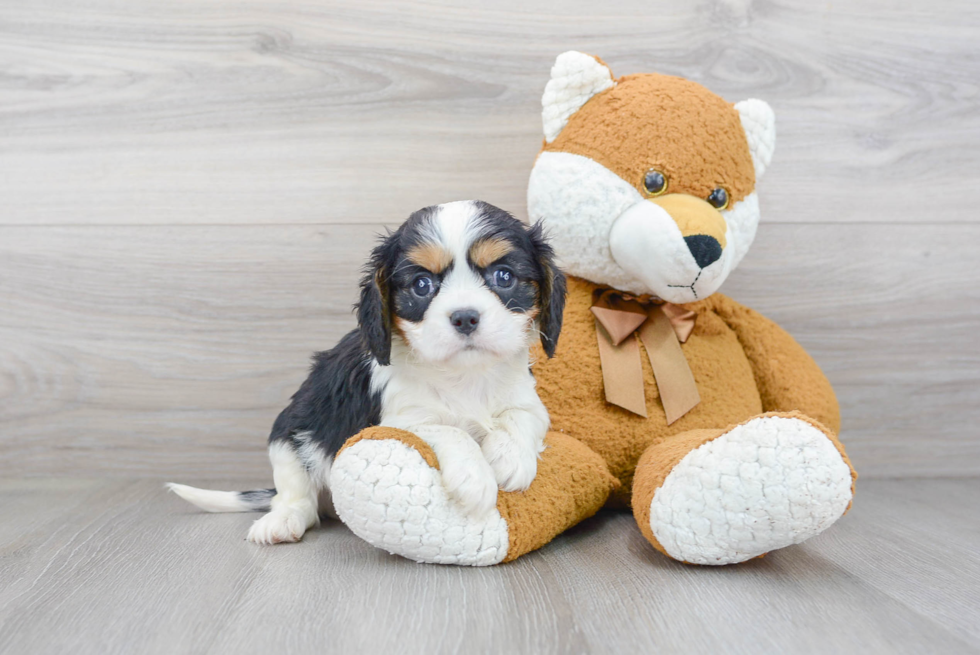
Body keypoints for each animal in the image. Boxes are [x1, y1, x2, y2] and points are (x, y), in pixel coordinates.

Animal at [168, 201, 568, 548]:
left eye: (504, 276)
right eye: (422, 285)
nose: (465, 317)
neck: (463, 376)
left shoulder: (528, 401)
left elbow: (520, 417)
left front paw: (509, 458)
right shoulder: (399, 420)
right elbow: (449, 430)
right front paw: (475, 477)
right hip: (288, 438)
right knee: (296, 498)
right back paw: (282, 522)